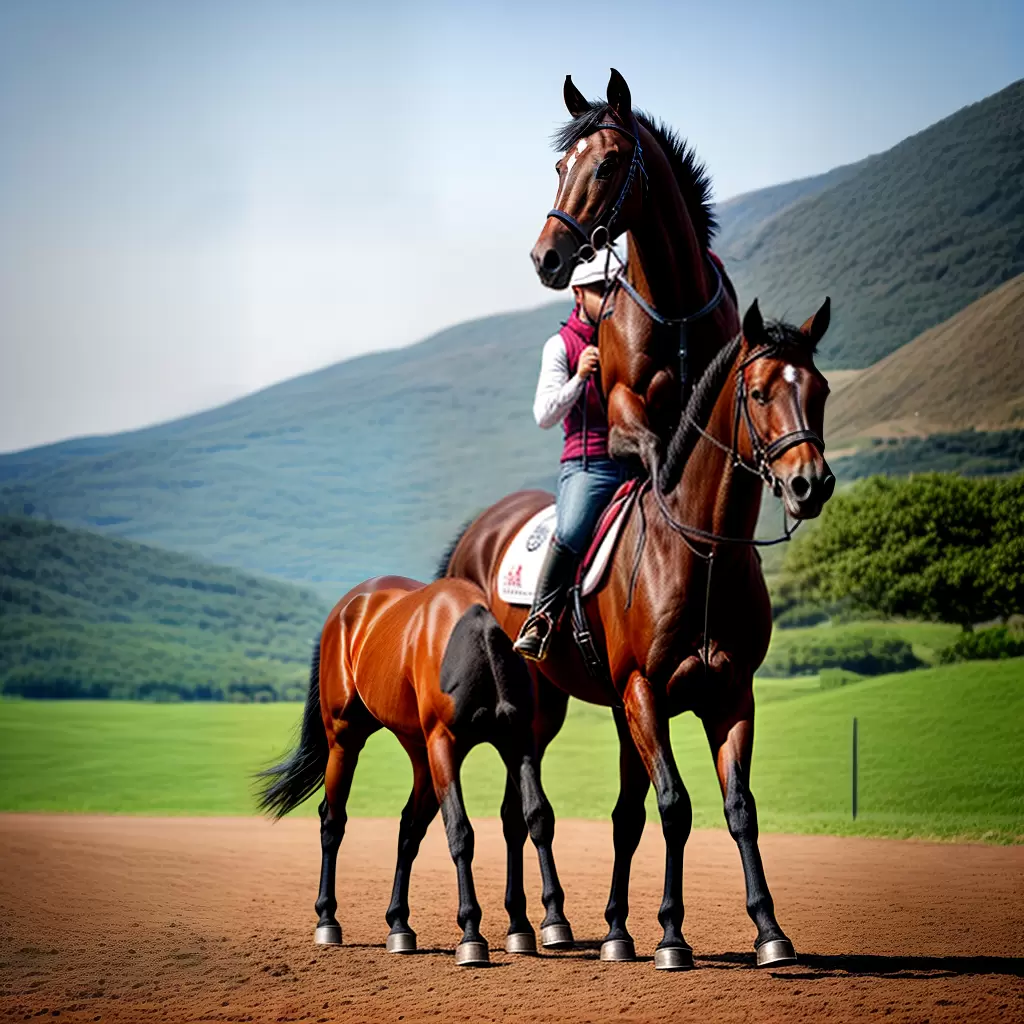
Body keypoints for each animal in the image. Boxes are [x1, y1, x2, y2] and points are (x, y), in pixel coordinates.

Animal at [257, 575, 571, 965]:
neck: (474, 646)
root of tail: (346, 607)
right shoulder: (444, 745)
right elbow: (460, 833)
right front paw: (471, 933)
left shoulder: (518, 741)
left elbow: (538, 816)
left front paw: (555, 920)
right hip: (345, 740)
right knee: (333, 821)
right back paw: (328, 919)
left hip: (420, 755)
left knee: (408, 829)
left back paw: (399, 926)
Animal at [443, 297, 836, 969]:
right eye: (760, 392)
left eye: (822, 390)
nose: (811, 483)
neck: (702, 552)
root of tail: (478, 532)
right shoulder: (644, 692)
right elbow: (674, 806)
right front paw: (671, 935)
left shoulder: (731, 696)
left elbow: (735, 809)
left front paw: (767, 931)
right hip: (533, 705)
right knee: (529, 810)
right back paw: (545, 922)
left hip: (554, 709)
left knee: (521, 813)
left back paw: (531, 923)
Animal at [531, 69, 741, 484]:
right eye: (561, 167)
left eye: (607, 164)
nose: (545, 257)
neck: (677, 312)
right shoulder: (622, 409)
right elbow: (656, 454)